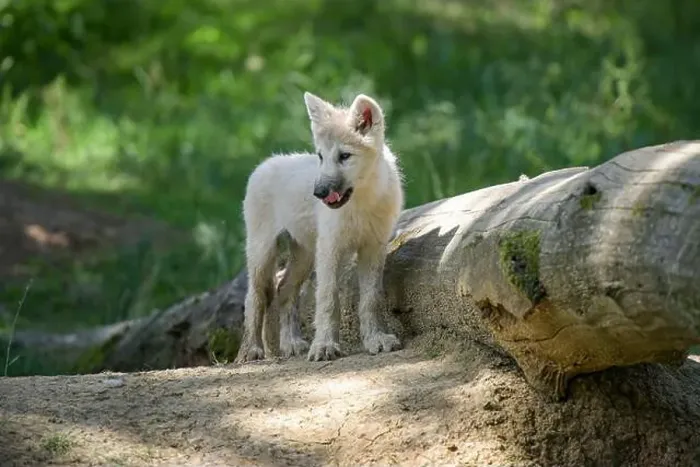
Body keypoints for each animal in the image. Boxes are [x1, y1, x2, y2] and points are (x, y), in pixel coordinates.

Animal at [234, 91, 404, 363]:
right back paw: (252, 350)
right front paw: (324, 346)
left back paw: (291, 344)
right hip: (264, 253)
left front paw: (375, 339)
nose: (319, 192)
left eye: (344, 156)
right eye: (320, 156)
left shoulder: (373, 249)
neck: (362, 201)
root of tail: (265, 164)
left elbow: (371, 299)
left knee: (284, 289)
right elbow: (328, 299)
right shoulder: (330, 249)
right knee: (255, 297)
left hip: (304, 255)